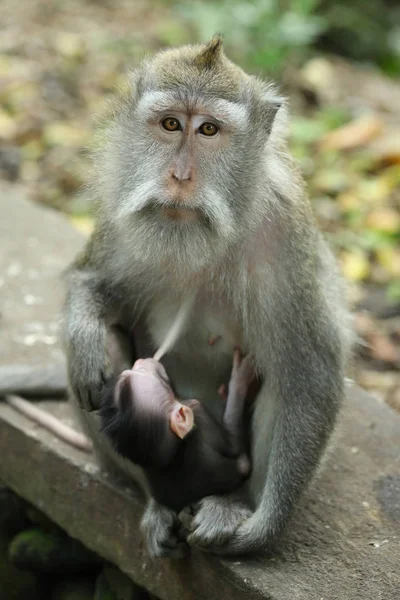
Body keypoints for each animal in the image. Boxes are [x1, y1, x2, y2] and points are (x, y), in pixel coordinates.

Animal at [101, 350, 255, 512]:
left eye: (138, 370)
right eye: (160, 379)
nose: (139, 361)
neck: (174, 453)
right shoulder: (197, 410)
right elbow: (237, 450)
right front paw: (240, 377)